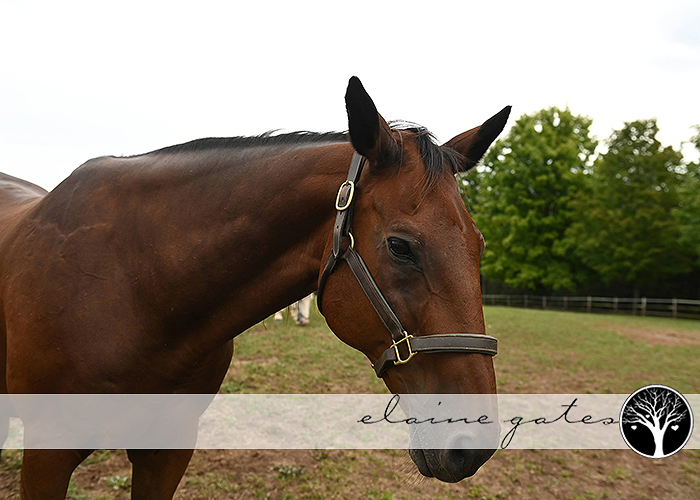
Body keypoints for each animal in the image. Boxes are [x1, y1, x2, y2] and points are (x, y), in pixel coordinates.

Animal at [0, 76, 510, 499]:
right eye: (401, 247)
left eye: (479, 244)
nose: (472, 441)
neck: (134, 285)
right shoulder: (48, 453)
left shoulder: (167, 452)